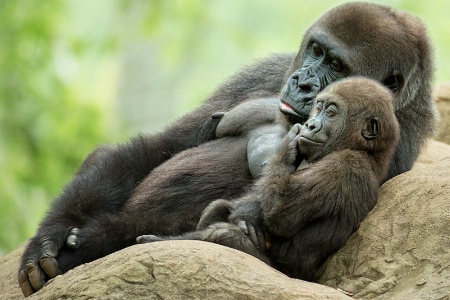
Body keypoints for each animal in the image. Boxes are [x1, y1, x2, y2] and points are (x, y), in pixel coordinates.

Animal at [138, 77, 400, 282]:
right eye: (319, 108)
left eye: (331, 113)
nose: (310, 124)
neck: (363, 150)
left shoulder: (346, 165)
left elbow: (280, 213)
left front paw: (287, 147)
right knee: (218, 208)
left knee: (224, 234)